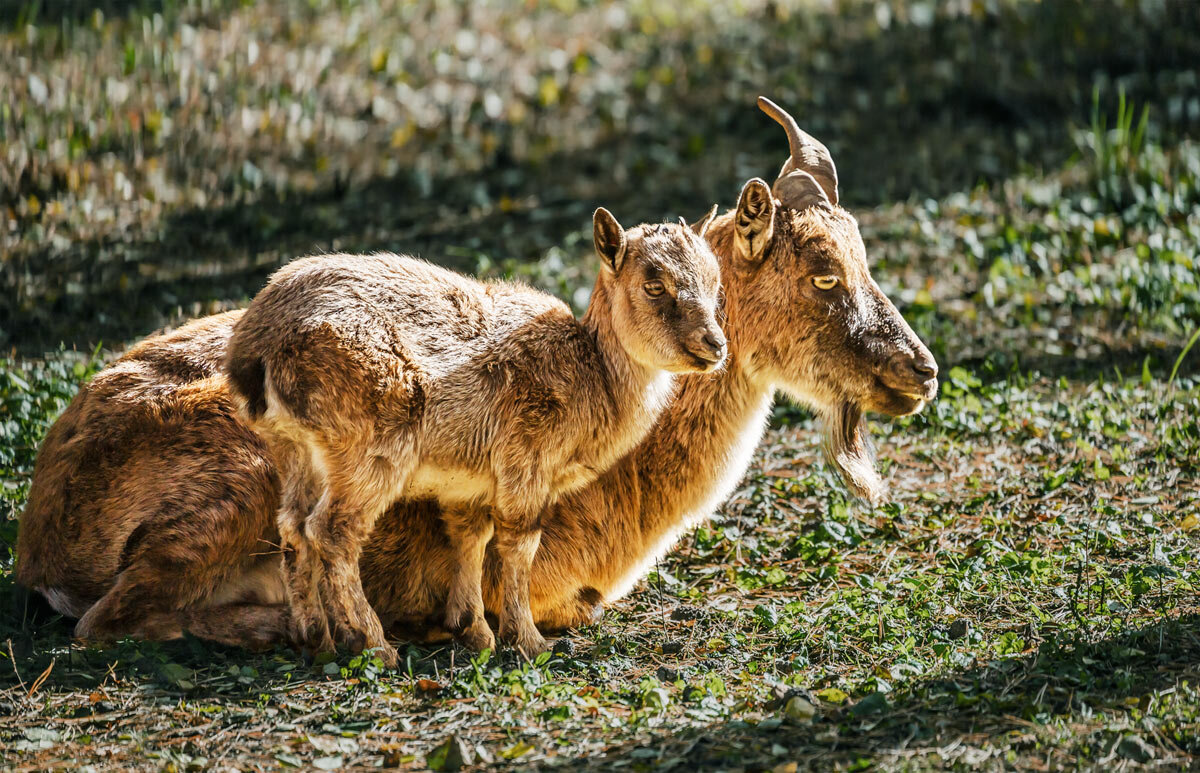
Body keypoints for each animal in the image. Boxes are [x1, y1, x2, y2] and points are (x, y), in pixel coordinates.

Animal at [228, 208, 724, 662]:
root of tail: (257, 348)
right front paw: (527, 640)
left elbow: (471, 538)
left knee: (292, 525)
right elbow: (519, 544)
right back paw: (373, 644)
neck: (593, 374)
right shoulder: (526, 458)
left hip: (295, 450)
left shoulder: (467, 483)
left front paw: (474, 631)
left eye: (714, 283)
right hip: (369, 447)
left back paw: (317, 639)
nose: (715, 344)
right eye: (654, 285)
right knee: (332, 530)